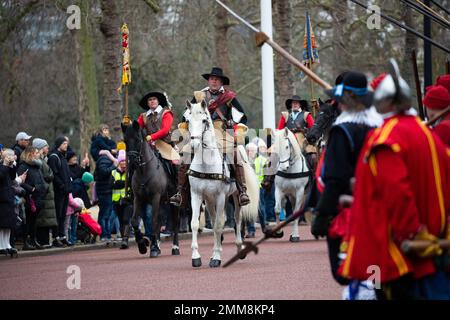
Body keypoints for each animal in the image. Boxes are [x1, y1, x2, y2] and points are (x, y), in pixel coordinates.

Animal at [123, 121, 181, 258]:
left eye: (138, 139)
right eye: (125, 140)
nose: (132, 163)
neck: (144, 171)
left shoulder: (155, 197)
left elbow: (153, 222)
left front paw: (152, 248)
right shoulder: (138, 199)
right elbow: (135, 221)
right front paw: (143, 245)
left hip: (173, 202)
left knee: (175, 222)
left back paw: (175, 247)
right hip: (162, 202)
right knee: (160, 221)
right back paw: (158, 245)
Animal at [184, 98, 260, 268]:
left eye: (204, 120)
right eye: (188, 120)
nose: (194, 146)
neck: (206, 164)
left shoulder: (220, 196)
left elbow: (220, 225)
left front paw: (216, 258)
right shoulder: (197, 195)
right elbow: (195, 224)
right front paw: (196, 257)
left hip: (235, 197)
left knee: (237, 220)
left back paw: (239, 248)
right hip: (211, 200)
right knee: (215, 221)